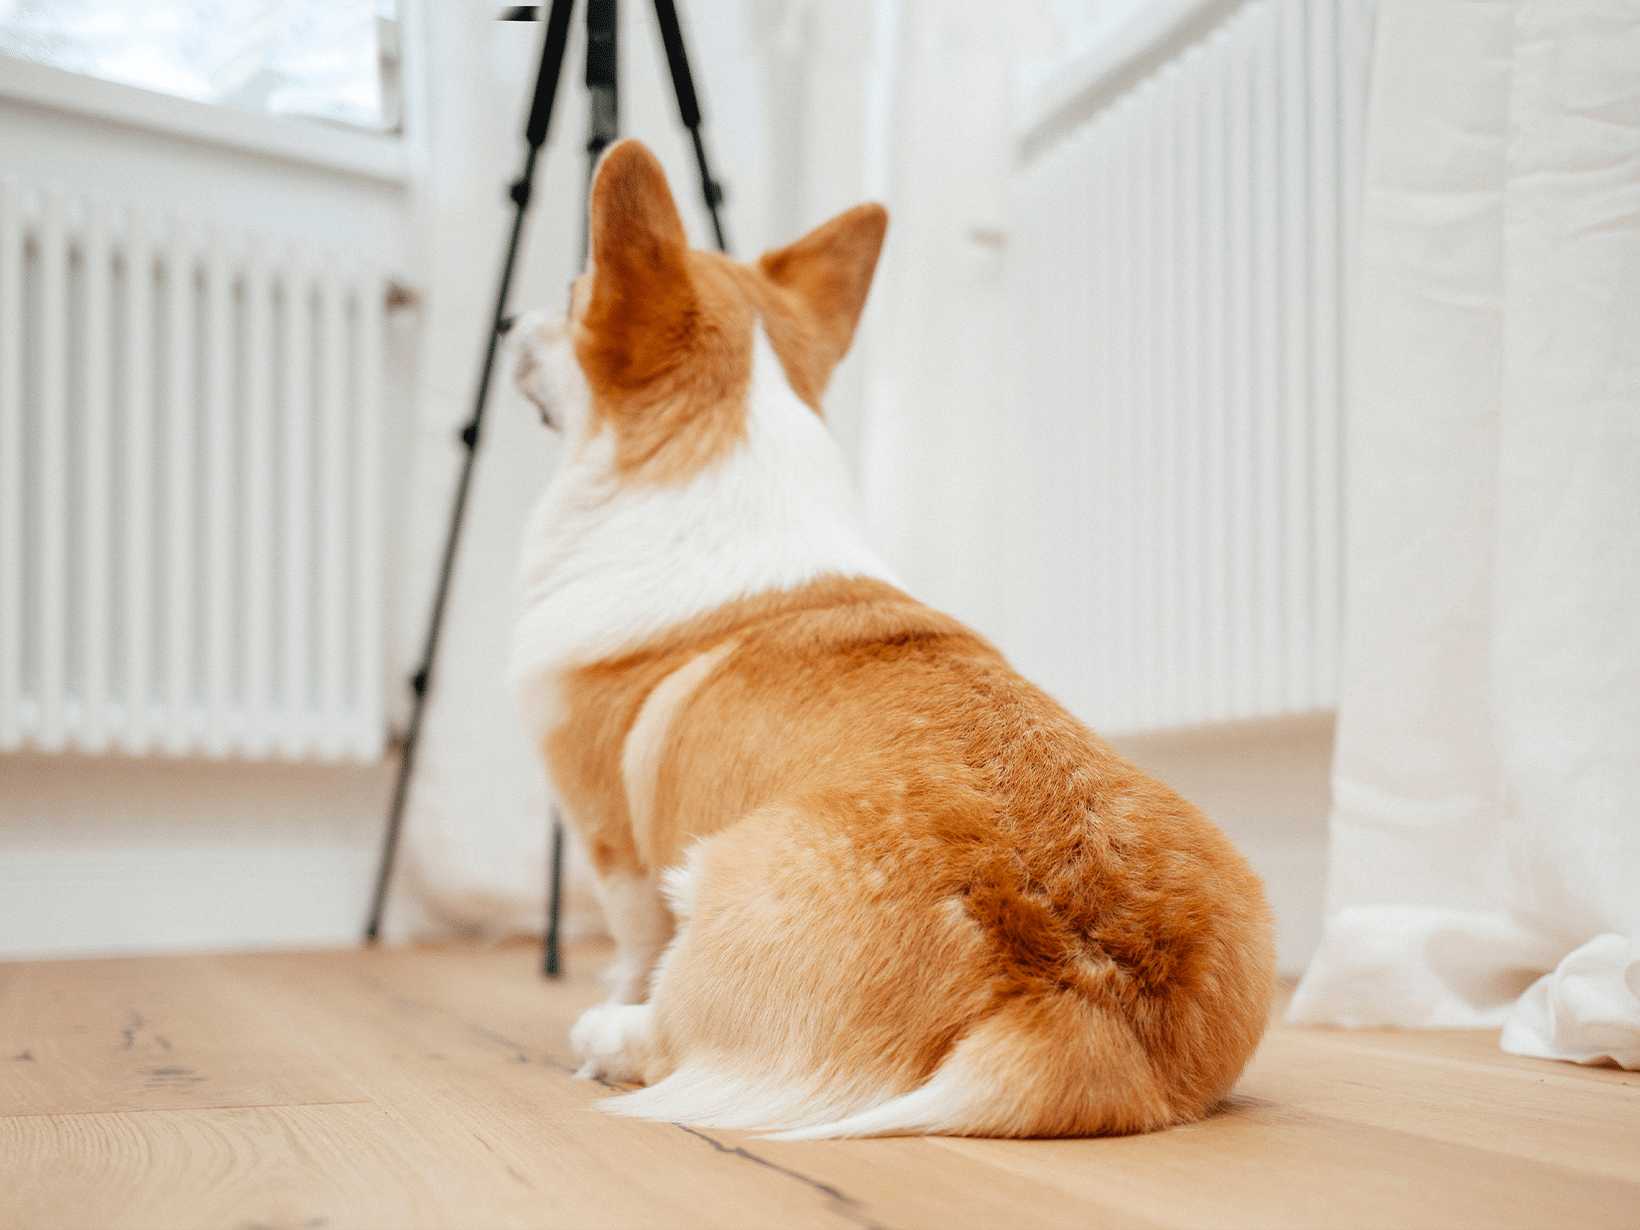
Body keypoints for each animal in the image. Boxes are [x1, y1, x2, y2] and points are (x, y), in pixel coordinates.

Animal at [505, 139, 1272, 1141]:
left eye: (568, 300)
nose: (508, 323)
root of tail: (1071, 1001)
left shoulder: (609, 842)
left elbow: (633, 943)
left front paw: (613, 998)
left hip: (705, 879)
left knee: (670, 1034)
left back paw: (607, 1034)